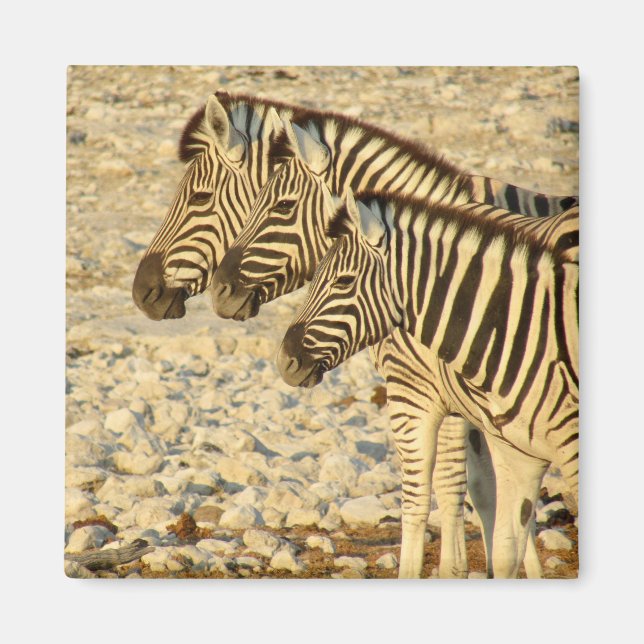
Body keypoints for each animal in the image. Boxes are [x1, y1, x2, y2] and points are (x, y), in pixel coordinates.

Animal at [276, 189, 579, 578]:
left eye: (343, 282)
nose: (285, 360)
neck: (514, 325)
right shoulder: (507, 445)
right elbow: (496, 531)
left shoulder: (414, 397)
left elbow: (423, 497)